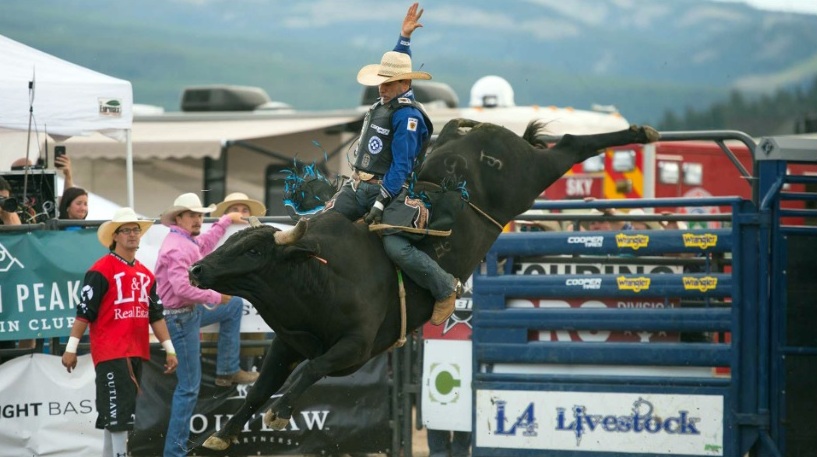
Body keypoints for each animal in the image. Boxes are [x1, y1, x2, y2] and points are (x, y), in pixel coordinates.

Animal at [186, 117, 656, 448]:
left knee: (572, 144)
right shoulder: (287, 342)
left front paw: (281, 412)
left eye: (253, 250)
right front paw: (221, 433)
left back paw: (641, 131)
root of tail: (474, 132)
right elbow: (259, 387)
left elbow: (309, 369)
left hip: (529, 174)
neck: (319, 274)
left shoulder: (356, 347)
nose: (196, 271)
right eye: (233, 241)